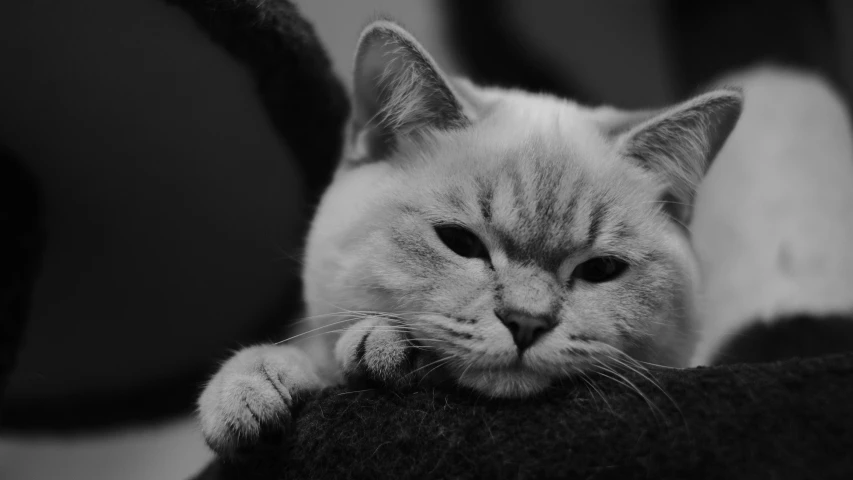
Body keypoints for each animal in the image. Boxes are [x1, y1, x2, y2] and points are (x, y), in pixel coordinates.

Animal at [198, 19, 740, 458]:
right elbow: (304, 353)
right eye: (461, 243)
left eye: (600, 270)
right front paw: (254, 383)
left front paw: (379, 348)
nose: (526, 323)